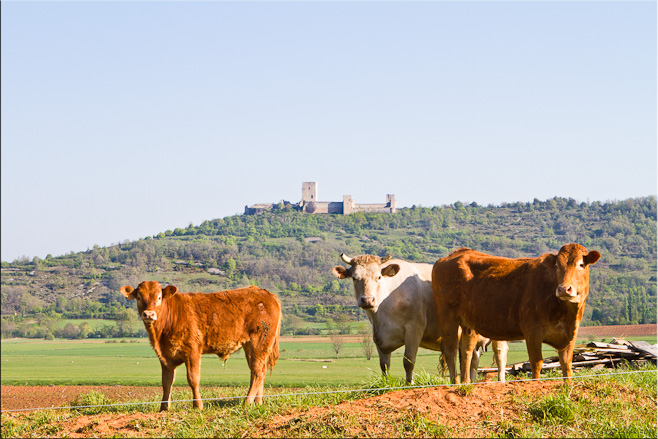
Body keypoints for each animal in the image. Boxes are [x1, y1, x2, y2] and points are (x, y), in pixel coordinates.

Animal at [120, 282, 280, 410]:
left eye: (159, 297)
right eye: (139, 297)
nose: (148, 314)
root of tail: (267, 294)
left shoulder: (192, 351)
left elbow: (193, 379)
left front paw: (198, 405)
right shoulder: (165, 356)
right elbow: (166, 382)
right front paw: (164, 408)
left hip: (259, 343)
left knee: (257, 372)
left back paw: (247, 402)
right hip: (252, 347)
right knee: (259, 371)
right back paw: (257, 402)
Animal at [330, 254, 504, 384]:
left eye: (379, 277)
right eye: (354, 278)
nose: (367, 300)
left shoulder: (414, 329)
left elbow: (409, 361)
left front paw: (409, 384)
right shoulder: (379, 337)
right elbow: (384, 366)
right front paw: (386, 384)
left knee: (500, 355)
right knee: (473, 359)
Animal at [434, 244, 596, 384]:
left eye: (581, 264)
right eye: (557, 266)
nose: (563, 289)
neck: (566, 313)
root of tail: (454, 254)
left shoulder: (570, 335)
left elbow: (566, 364)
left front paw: (568, 385)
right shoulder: (532, 331)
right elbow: (536, 363)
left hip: (468, 323)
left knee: (466, 351)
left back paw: (466, 382)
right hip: (448, 316)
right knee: (451, 351)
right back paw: (455, 383)